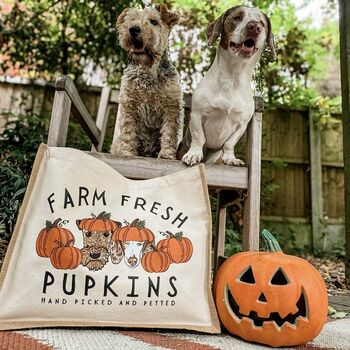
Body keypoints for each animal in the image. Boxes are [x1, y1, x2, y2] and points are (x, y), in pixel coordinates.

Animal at [111, 3, 183, 160]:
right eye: (131, 19)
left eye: (153, 21)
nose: (133, 29)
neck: (149, 70)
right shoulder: (130, 103)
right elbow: (128, 131)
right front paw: (126, 152)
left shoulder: (171, 105)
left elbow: (169, 132)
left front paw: (167, 154)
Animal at [180, 5, 276, 167]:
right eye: (237, 17)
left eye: (262, 23)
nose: (255, 27)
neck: (232, 78)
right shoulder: (197, 115)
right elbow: (199, 138)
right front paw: (194, 154)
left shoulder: (241, 125)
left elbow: (229, 144)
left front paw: (230, 158)